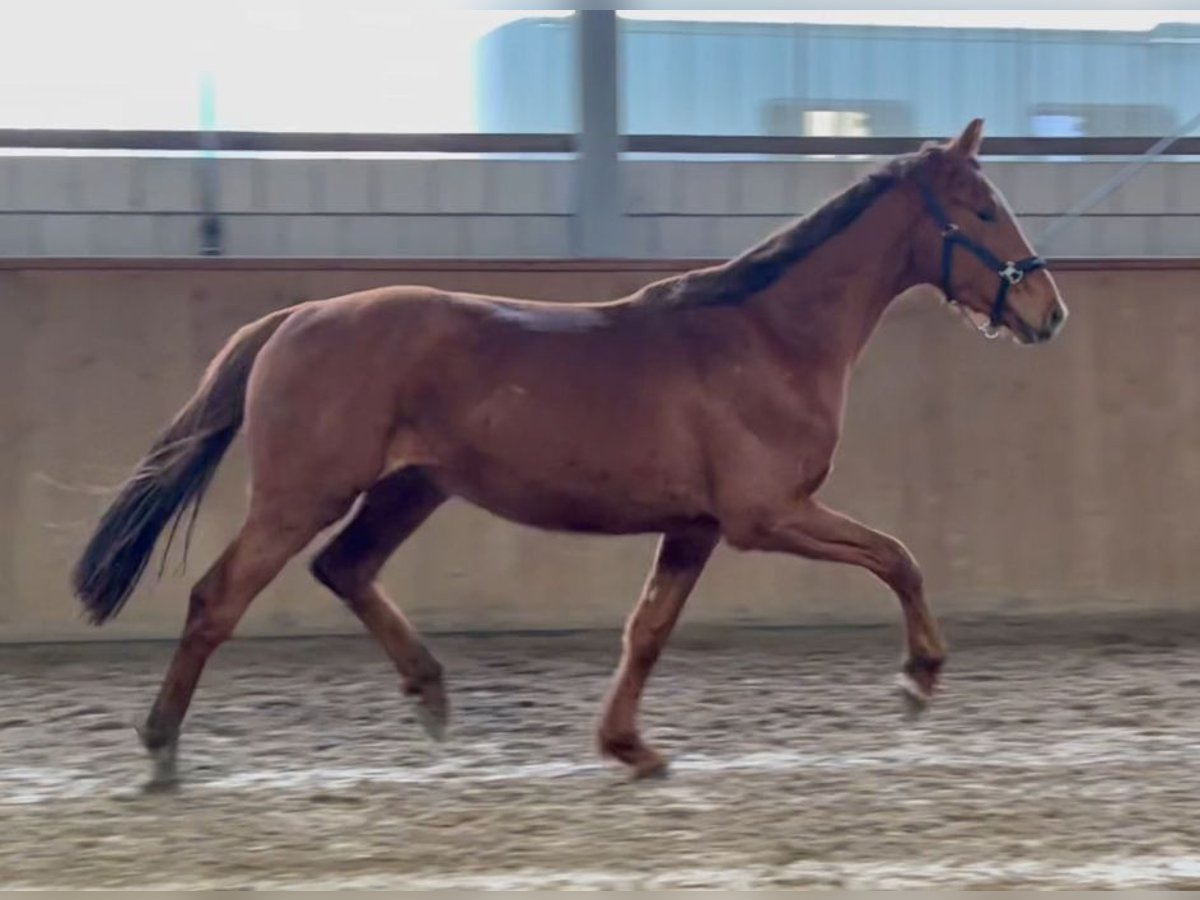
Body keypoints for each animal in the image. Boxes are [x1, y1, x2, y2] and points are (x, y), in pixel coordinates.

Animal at [75, 116, 1070, 787]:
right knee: (219, 598)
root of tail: (295, 317)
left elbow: (647, 632)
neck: (765, 337)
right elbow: (898, 558)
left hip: (411, 489)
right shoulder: (766, 516)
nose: (1047, 311)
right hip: (302, 495)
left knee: (345, 570)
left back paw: (432, 698)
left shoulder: (698, 526)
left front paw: (629, 747)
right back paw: (160, 749)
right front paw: (918, 679)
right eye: (985, 208)